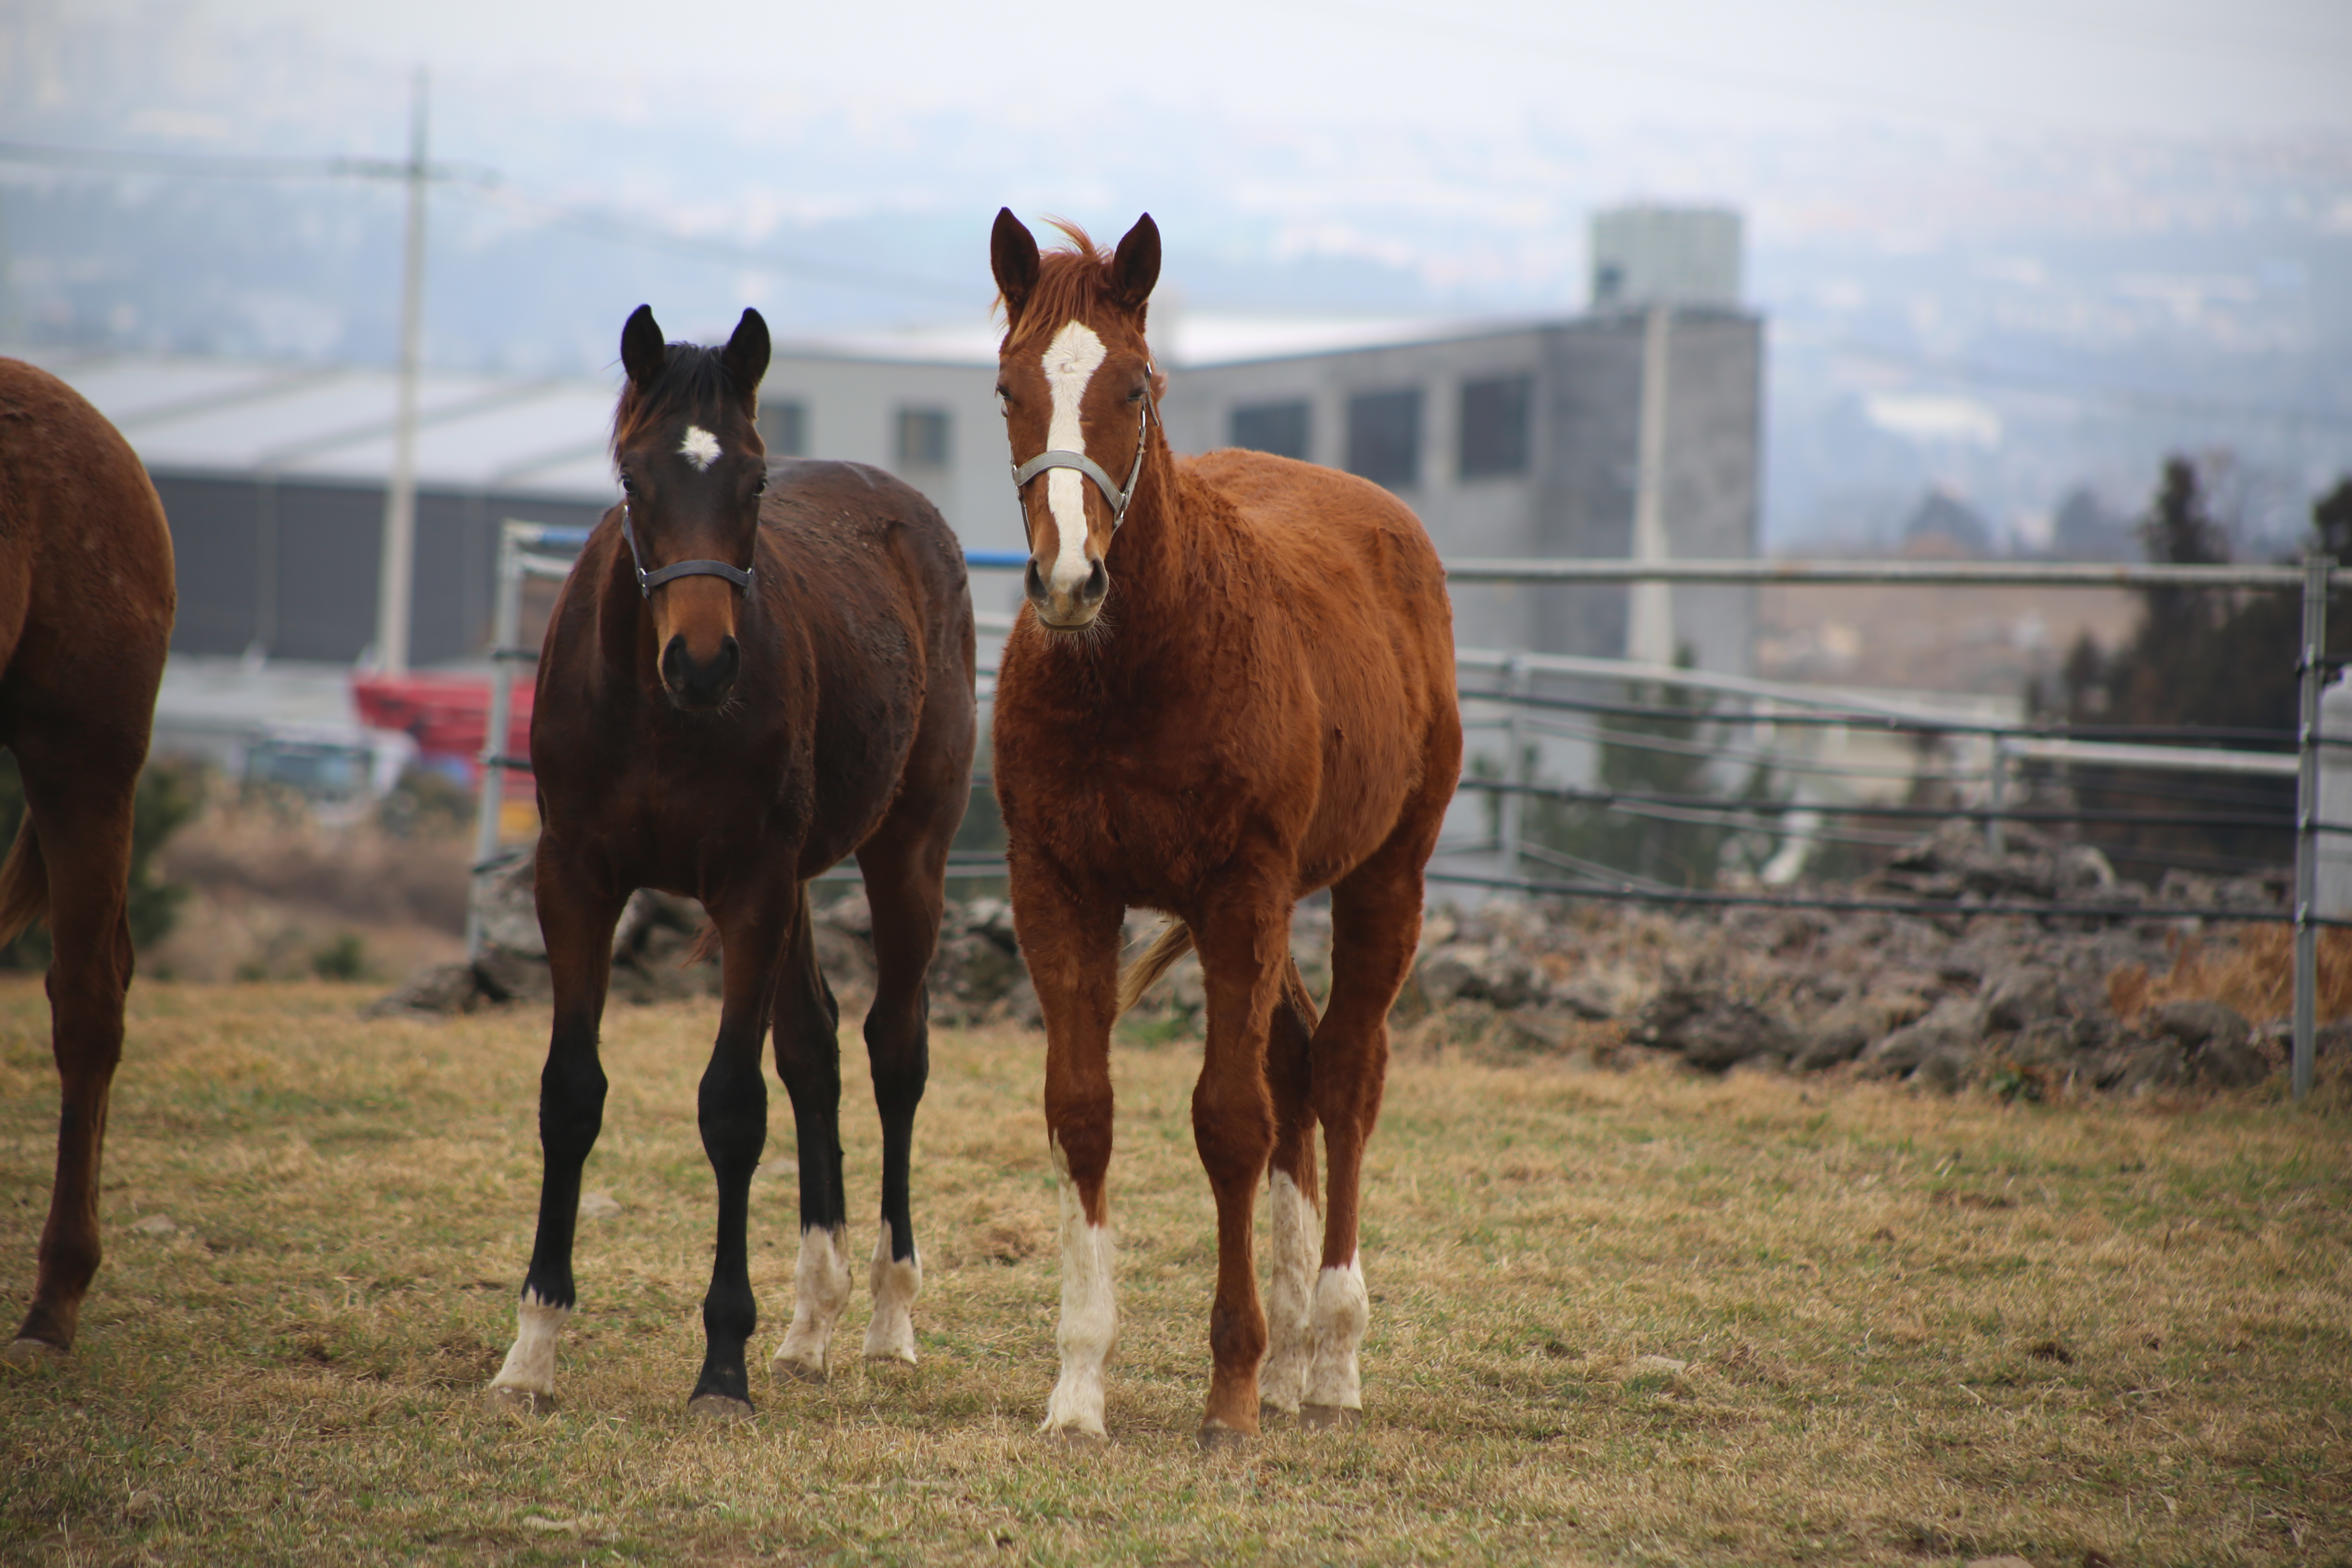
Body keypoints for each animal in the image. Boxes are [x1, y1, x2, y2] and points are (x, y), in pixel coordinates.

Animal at [491, 305, 978, 1420]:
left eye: (755, 482)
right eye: (633, 480)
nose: (706, 663)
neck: (654, 713)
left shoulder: (749, 887)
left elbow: (731, 1108)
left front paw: (722, 1363)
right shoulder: (574, 881)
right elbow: (570, 1092)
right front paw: (533, 1345)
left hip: (906, 852)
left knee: (894, 1051)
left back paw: (887, 1314)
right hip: (799, 880)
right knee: (816, 1048)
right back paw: (812, 1320)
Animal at [983, 215, 1458, 1457]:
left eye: (1134, 387)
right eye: (1006, 389)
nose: (1067, 579)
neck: (1136, 670)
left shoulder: (1241, 884)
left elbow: (1231, 1121)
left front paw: (1232, 1392)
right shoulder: (1059, 887)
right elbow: (1082, 1113)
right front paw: (1077, 1388)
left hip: (1382, 875)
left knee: (1341, 1074)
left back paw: (1327, 1356)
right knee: (1295, 1060)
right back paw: (1296, 1357)